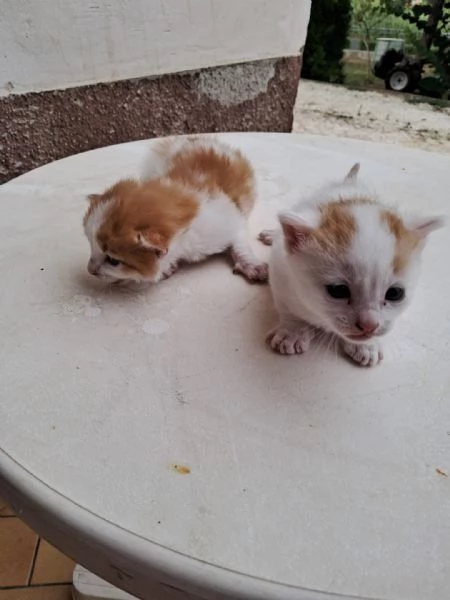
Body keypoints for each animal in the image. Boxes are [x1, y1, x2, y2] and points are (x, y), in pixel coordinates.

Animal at [83, 137, 268, 284]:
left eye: (113, 261)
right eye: (91, 245)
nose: (89, 270)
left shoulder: (229, 220)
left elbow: (239, 243)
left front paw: (252, 265)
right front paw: (167, 268)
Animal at [260, 164, 442, 366]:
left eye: (395, 294)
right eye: (338, 290)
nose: (370, 325)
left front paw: (367, 346)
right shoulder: (280, 270)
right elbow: (289, 309)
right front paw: (293, 331)